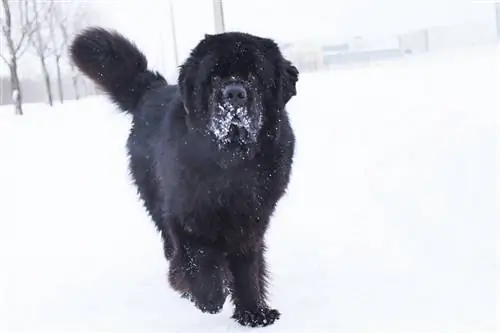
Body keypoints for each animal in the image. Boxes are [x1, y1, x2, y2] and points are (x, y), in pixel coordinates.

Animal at [70, 26, 296, 326]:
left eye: (255, 75)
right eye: (214, 77)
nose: (234, 94)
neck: (231, 163)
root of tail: (151, 89)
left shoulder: (251, 220)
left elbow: (247, 265)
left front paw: (253, 312)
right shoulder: (187, 213)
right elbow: (197, 256)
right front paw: (208, 296)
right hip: (154, 196)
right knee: (172, 247)